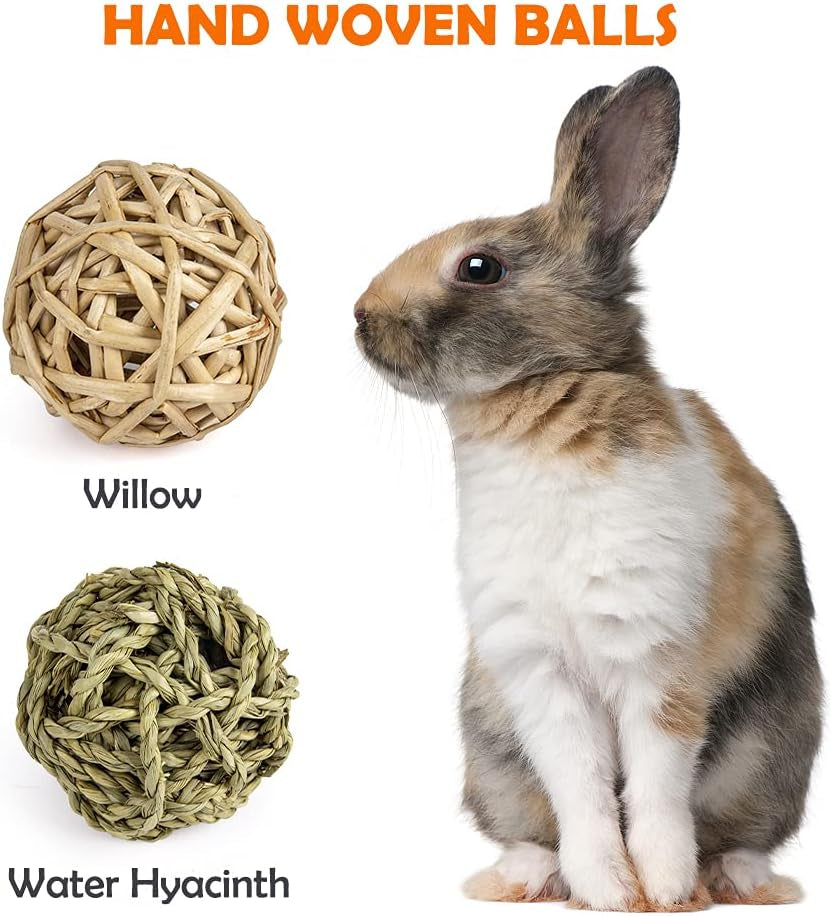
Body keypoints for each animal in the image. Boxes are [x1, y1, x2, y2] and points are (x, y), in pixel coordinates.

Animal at [353, 67, 822, 911]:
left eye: (479, 266)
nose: (359, 318)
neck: (537, 403)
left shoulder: (656, 661)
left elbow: (656, 787)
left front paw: (661, 888)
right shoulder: (537, 673)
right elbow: (580, 790)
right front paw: (606, 888)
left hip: (770, 759)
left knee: (739, 833)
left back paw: (729, 878)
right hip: (492, 753)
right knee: (530, 823)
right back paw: (522, 876)